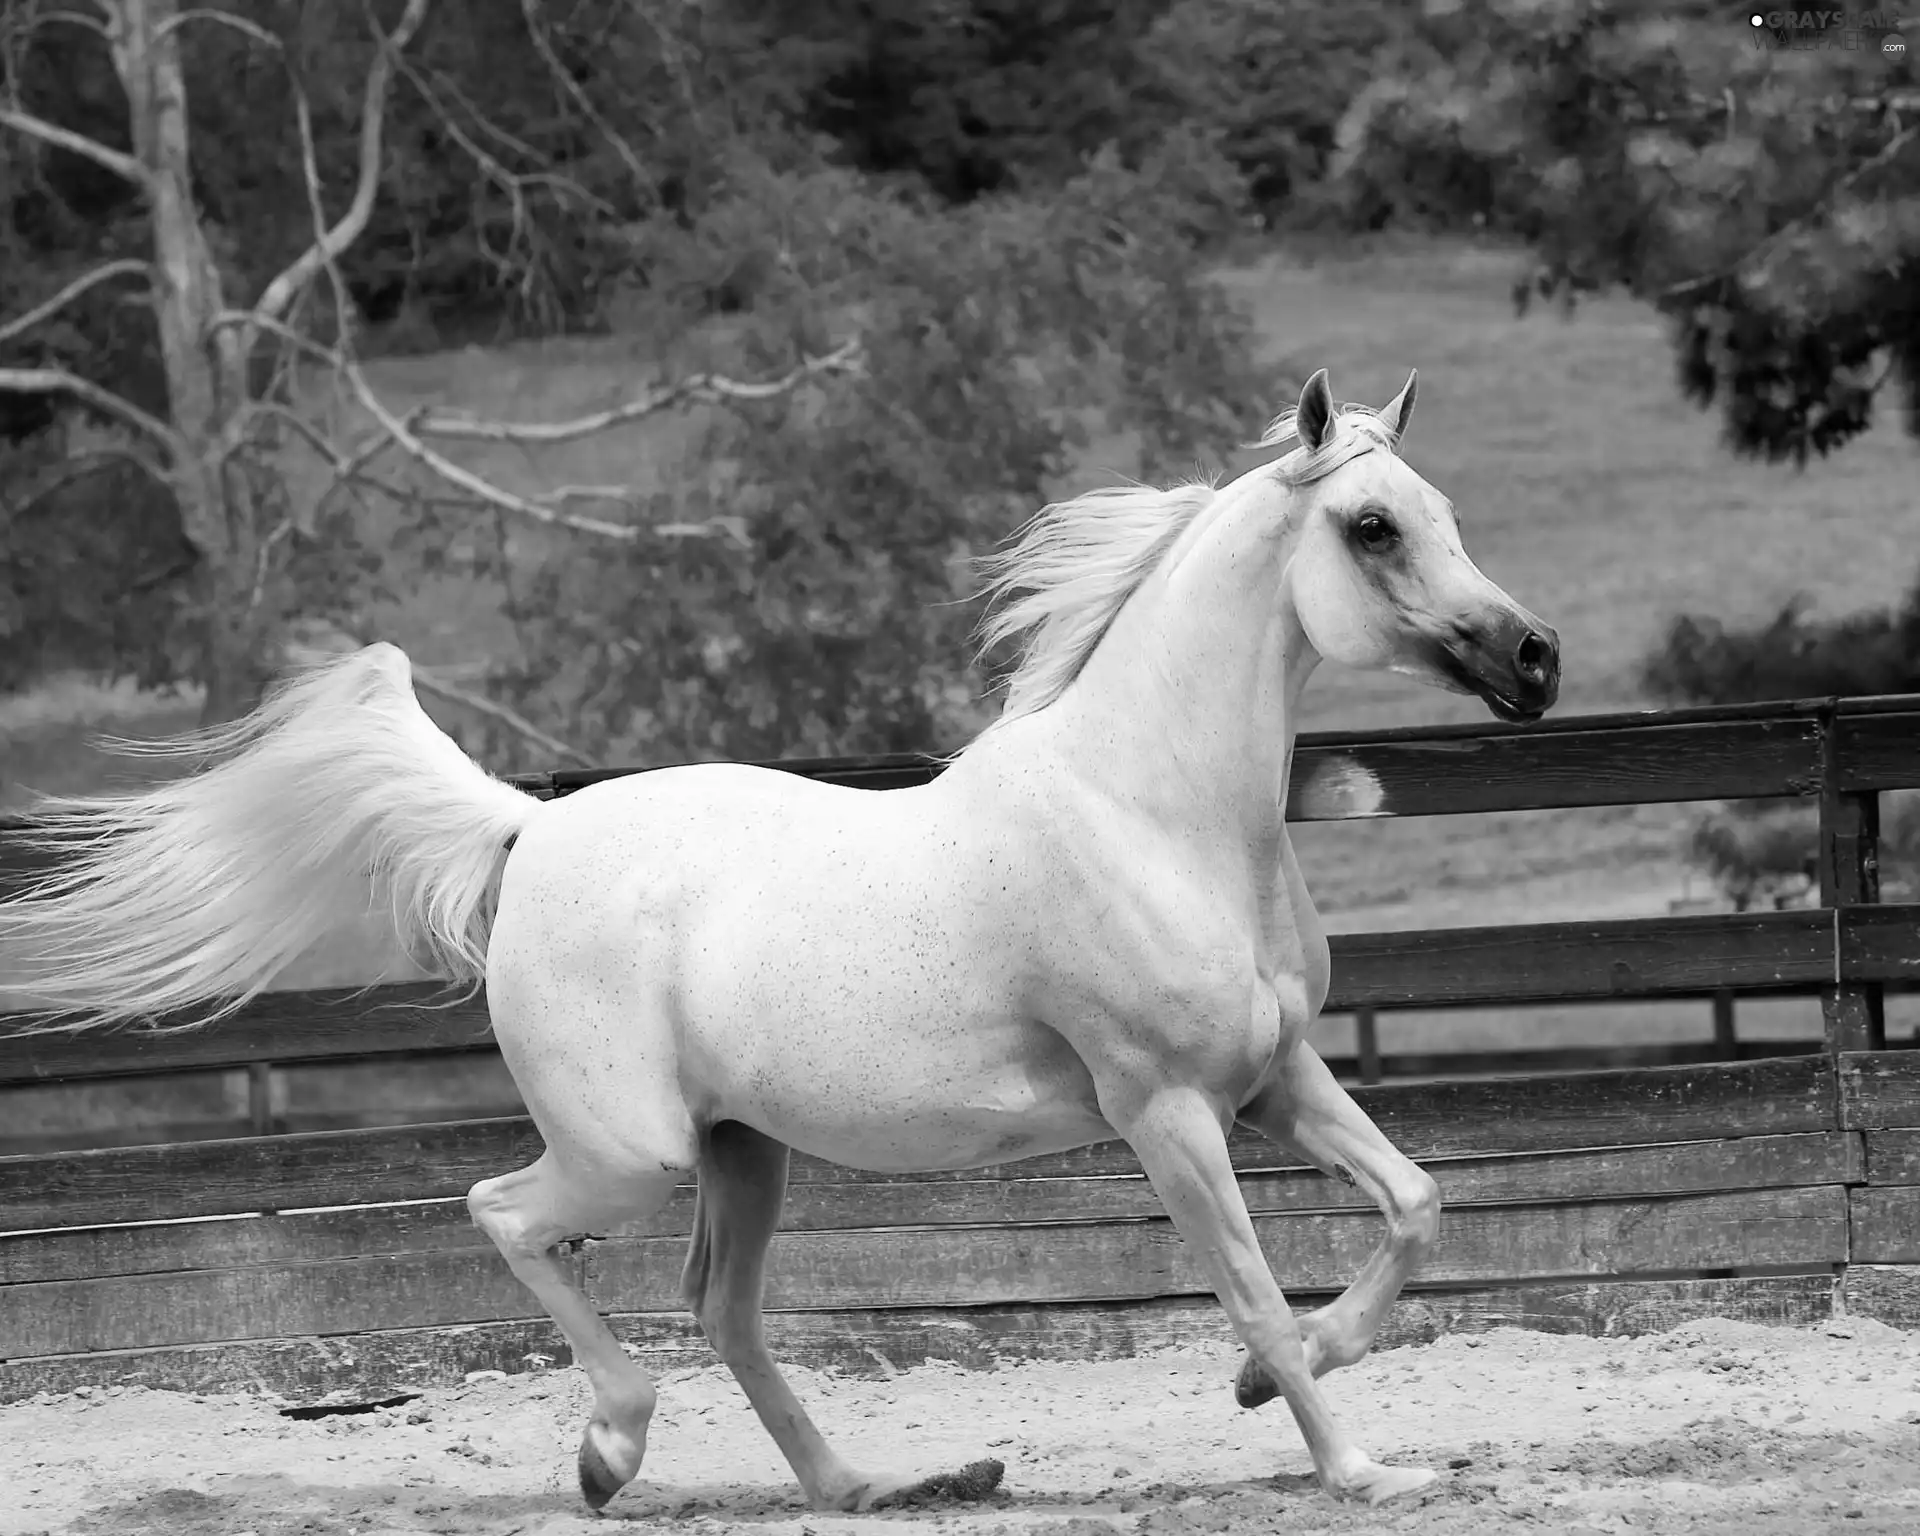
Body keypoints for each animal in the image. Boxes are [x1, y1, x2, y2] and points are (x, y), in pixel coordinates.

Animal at [0, 368, 1551, 1512]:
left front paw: (1289, 1389)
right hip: (633, 1152)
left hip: (744, 1152)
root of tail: (528, 831)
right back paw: (612, 1450)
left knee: (724, 1312)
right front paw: (1361, 1469)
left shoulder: (1277, 1077)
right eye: (1370, 527)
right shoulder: (1166, 1110)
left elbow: (1416, 1205)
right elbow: (1254, 1293)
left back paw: (867, 1484)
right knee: (507, 1216)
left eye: (1442, 509)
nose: (1534, 660)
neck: (1150, 812)